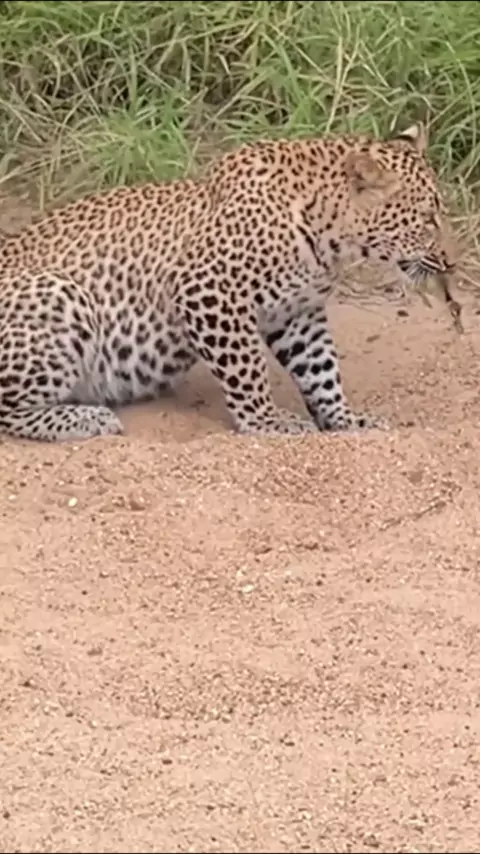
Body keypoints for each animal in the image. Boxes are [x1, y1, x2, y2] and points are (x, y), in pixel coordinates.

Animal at [0, 121, 457, 443]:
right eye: (427, 218)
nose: (450, 262)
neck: (330, 240)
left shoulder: (299, 314)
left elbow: (322, 370)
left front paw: (345, 418)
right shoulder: (207, 290)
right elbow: (247, 366)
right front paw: (267, 421)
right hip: (63, 296)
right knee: (7, 410)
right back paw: (86, 417)